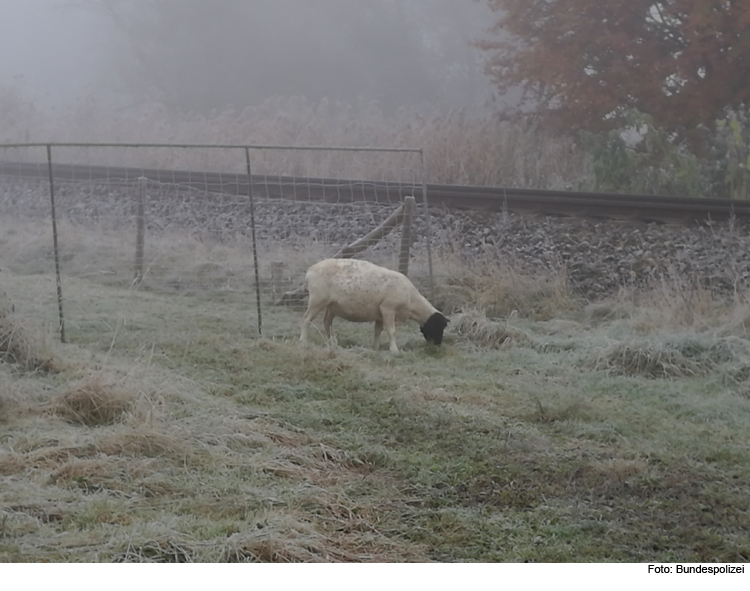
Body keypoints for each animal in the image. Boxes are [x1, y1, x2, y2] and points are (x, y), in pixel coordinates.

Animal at [300, 258, 450, 352]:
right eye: (438, 326)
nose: (438, 345)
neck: (411, 301)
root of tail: (310, 270)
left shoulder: (380, 314)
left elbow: (378, 331)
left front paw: (375, 347)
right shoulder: (388, 308)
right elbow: (391, 330)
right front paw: (394, 350)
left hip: (331, 305)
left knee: (327, 322)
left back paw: (332, 343)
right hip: (317, 300)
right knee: (306, 319)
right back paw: (303, 342)